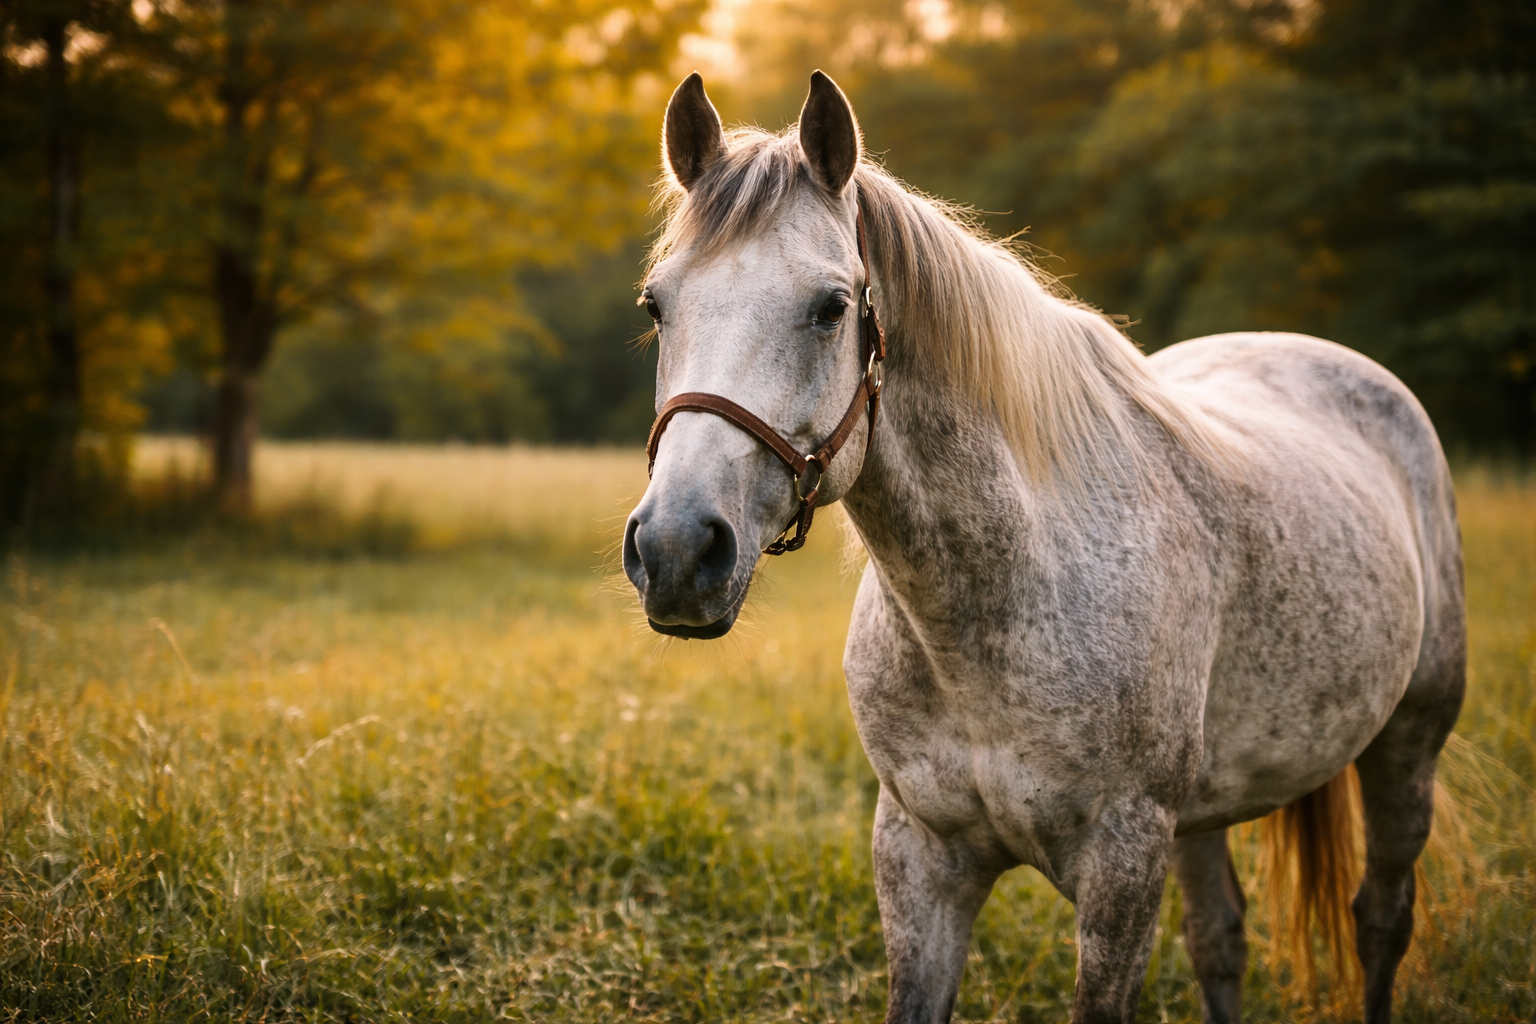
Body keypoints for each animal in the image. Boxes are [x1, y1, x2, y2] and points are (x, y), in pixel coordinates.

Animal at [621, 70, 1465, 1024]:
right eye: (657, 305)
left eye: (831, 307)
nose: (678, 550)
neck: (992, 608)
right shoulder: (919, 854)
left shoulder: (1122, 863)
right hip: (1200, 816)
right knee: (1221, 939)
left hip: (1408, 743)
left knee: (1380, 920)